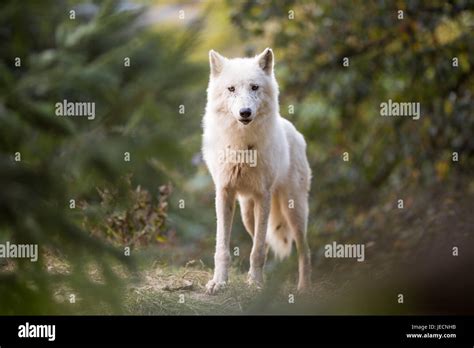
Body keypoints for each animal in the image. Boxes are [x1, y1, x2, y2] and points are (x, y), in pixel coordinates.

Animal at [202, 48, 312, 294]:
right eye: (231, 89)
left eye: (254, 87)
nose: (245, 112)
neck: (242, 147)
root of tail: (294, 130)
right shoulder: (224, 193)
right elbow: (222, 249)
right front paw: (219, 282)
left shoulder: (264, 195)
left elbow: (258, 250)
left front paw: (255, 284)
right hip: (246, 213)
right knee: (264, 243)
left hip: (294, 211)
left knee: (303, 250)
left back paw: (303, 288)